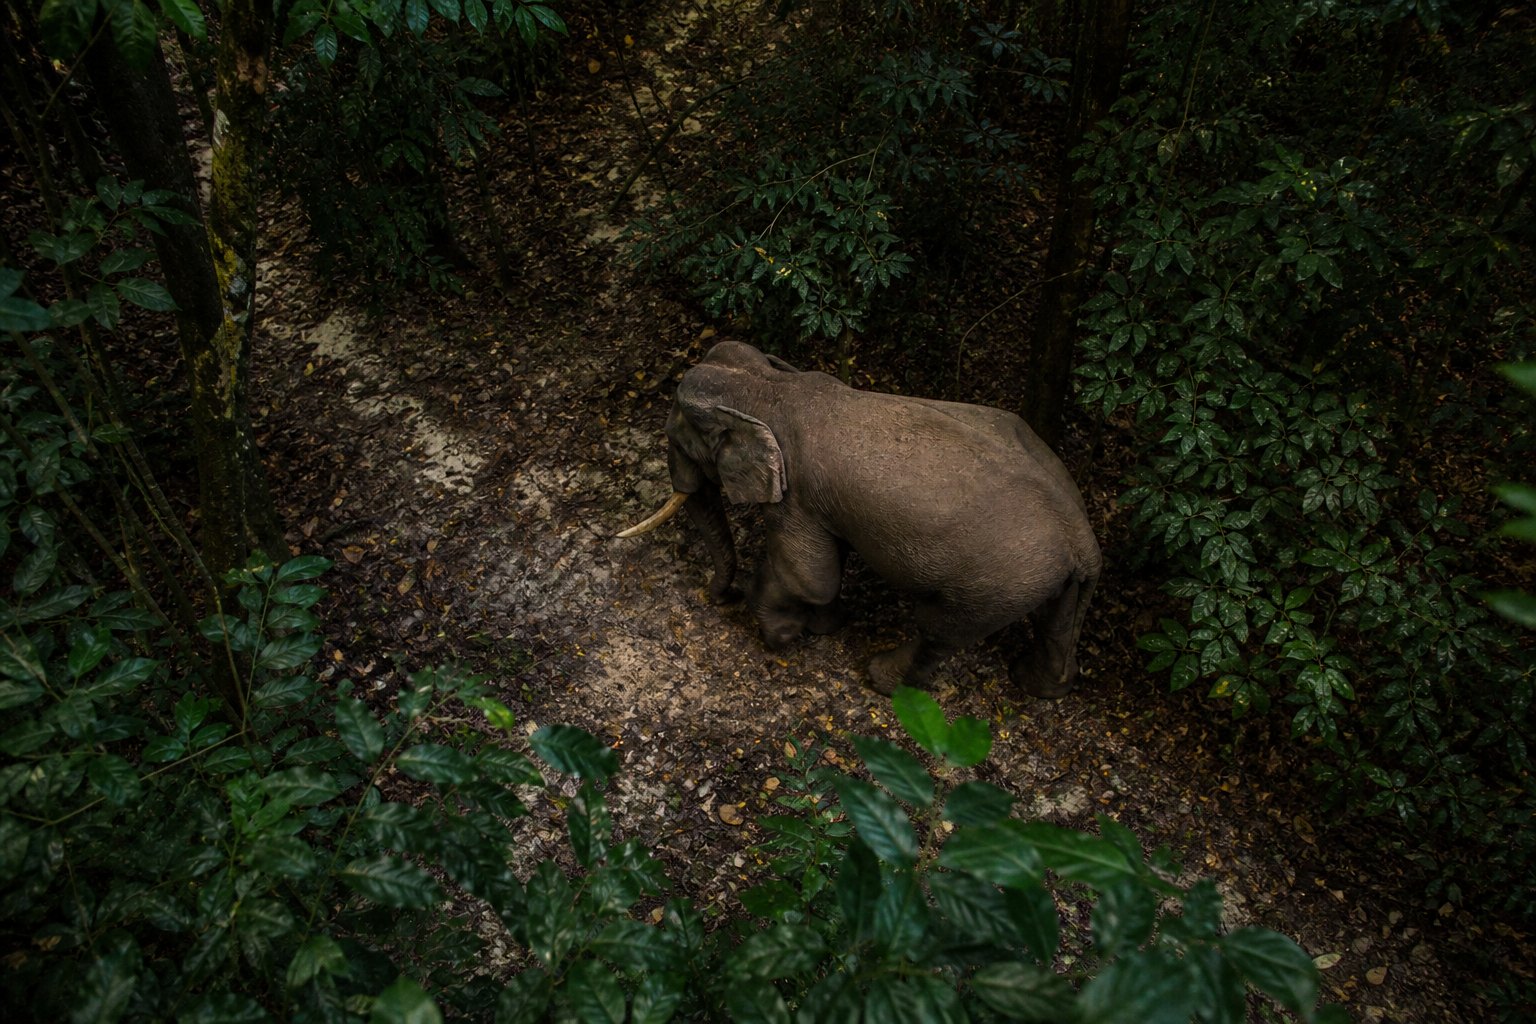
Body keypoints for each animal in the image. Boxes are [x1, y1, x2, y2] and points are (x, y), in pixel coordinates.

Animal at [618, 340, 1101, 698]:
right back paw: (1036, 684)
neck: (769, 386)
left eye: (677, 438)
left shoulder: (795, 494)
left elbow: (810, 577)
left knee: (939, 629)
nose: (712, 595)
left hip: (996, 585)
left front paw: (781, 635)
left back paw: (879, 677)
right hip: (1046, 581)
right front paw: (824, 627)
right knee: (1054, 625)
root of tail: (1084, 542)